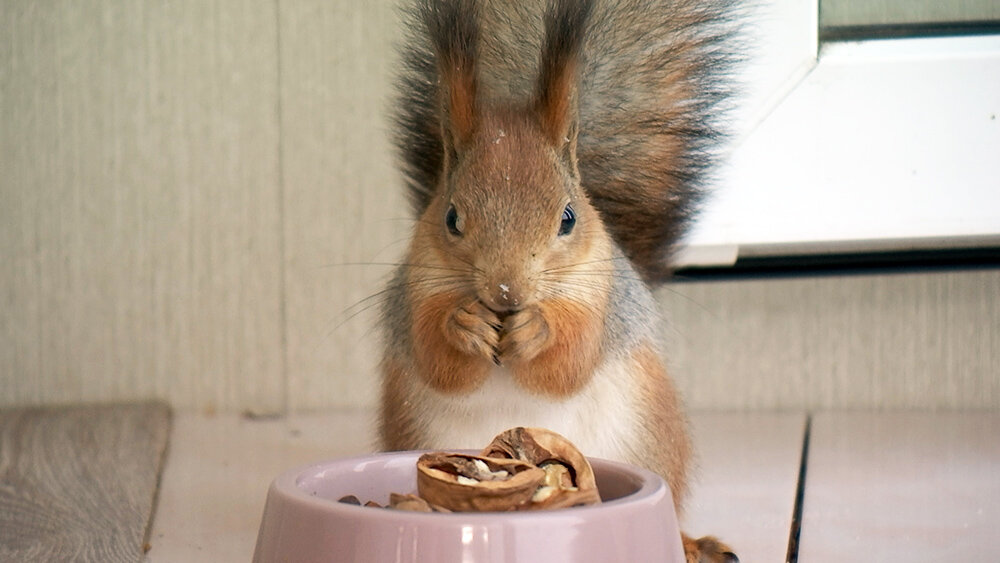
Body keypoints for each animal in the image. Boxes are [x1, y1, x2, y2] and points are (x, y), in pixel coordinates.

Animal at [379, 0, 738, 560]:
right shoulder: (414, 294)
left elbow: (570, 362)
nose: (506, 294)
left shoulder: (602, 299)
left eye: (568, 217)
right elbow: (439, 362)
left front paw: (538, 330)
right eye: (451, 217)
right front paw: (464, 325)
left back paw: (690, 543)